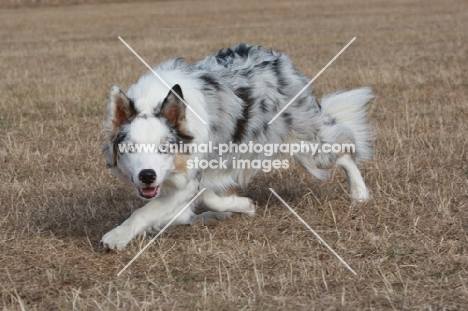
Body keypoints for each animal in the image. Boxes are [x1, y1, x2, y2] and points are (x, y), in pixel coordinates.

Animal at [99, 43, 372, 251]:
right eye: (130, 149)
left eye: (164, 149)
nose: (147, 176)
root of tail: (279, 59)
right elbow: (201, 202)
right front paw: (236, 207)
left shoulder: (186, 182)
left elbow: (146, 211)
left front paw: (117, 236)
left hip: (309, 145)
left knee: (345, 148)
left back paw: (359, 193)